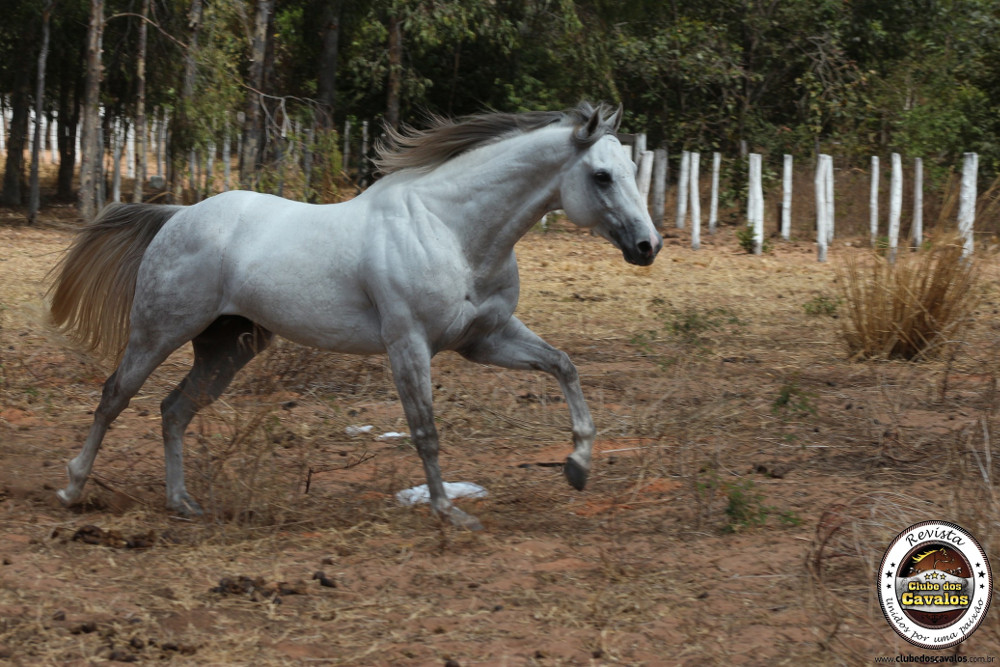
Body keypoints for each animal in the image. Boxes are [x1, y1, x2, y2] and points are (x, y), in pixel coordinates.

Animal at [48, 101, 663, 530]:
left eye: (632, 168)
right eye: (602, 175)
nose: (648, 246)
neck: (452, 230)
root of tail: (178, 215)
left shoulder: (486, 339)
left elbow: (564, 366)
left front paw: (578, 466)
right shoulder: (408, 343)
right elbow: (425, 429)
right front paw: (449, 511)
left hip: (228, 347)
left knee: (174, 409)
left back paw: (181, 503)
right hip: (159, 331)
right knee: (114, 396)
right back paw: (72, 488)